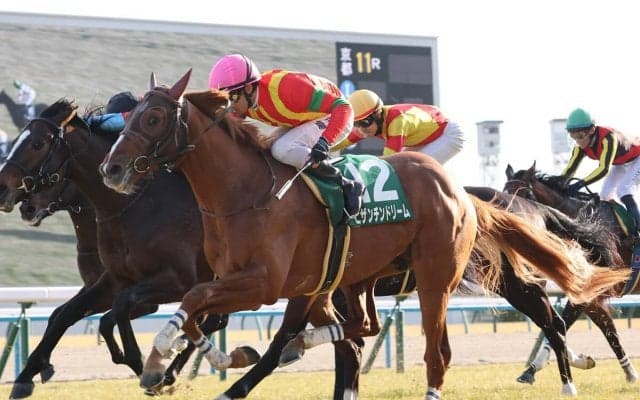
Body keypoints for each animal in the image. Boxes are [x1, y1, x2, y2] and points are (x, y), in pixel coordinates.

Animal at [504, 162, 639, 384]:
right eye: (503, 192)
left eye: (523, 194)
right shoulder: (591, 299)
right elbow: (611, 333)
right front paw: (629, 373)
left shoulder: (586, 294)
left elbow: (560, 326)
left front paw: (533, 369)